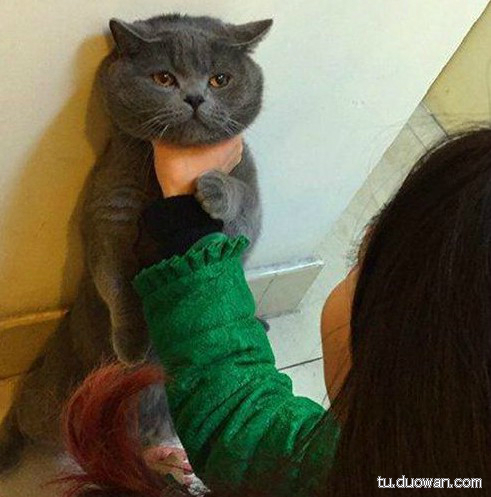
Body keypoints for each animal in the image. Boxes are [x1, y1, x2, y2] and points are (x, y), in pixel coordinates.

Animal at [0, 14, 272, 472]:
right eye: (164, 78)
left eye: (220, 79)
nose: (195, 97)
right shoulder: (111, 211)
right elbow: (115, 281)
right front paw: (131, 345)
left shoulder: (248, 202)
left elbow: (241, 207)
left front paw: (214, 187)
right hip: (49, 401)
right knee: (24, 416)